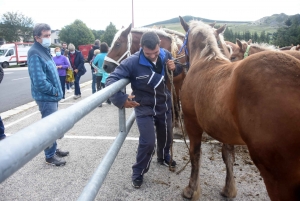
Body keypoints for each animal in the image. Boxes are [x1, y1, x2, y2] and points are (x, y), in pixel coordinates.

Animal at [179, 16, 300, 201]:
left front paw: (191, 190)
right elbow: (228, 155)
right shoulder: (225, 130)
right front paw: (229, 189)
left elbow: (195, 154)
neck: (204, 62)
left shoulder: (192, 123)